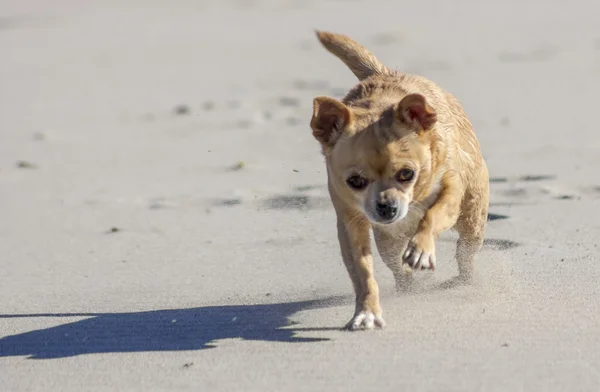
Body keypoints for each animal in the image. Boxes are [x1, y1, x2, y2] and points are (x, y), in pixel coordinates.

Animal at [312, 31, 490, 330]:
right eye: (355, 181)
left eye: (407, 174)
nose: (387, 208)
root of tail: (384, 72)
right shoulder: (351, 224)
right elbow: (363, 274)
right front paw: (367, 311)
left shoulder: (450, 191)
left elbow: (432, 215)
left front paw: (421, 249)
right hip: (388, 243)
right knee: (398, 268)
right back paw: (409, 288)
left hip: (472, 216)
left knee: (466, 251)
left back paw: (464, 280)